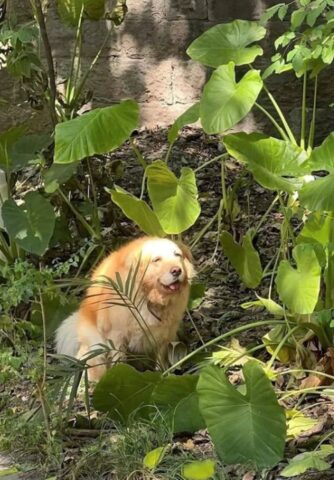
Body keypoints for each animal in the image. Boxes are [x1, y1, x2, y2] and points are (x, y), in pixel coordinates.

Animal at [55, 237, 194, 382]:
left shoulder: (165, 336)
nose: (177, 270)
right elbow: (119, 363)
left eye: (177, 255)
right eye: (156, 260)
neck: (148, 297)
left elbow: (161, 361)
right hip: (97, 346)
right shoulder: (117, 337)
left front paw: (162, 375)